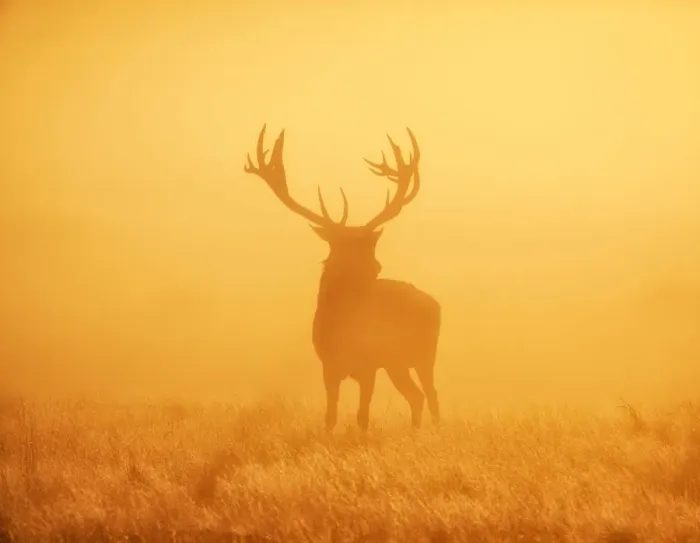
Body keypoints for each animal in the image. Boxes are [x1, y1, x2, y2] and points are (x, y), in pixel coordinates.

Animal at [243, 125, 441, 432]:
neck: (344, 330)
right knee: (416, 396)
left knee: (431, 395)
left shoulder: (369, 364)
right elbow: (330, 415)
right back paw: (414, 434)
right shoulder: (328, 365)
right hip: (396, 363)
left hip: (424, 355)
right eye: (341, 245)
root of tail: (435, 303)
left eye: (369, 246)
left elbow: (362, 416)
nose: (375, 266)